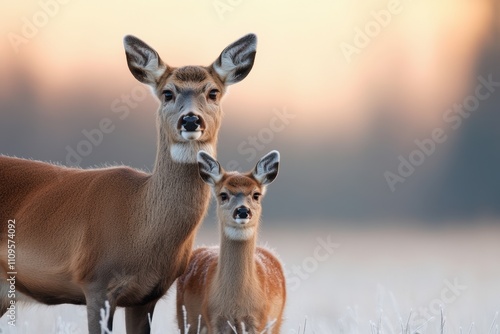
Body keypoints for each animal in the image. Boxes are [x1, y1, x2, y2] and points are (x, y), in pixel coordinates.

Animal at [0, 32, 256, 332]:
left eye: (213, 92)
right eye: (167, 93)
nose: (191, 120)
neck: (139, 225)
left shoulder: (147, 296)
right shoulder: (96, 282)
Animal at [176, 151, 286, 334]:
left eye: (256, 194)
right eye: (223, 195)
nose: (242, 211)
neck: (236, 304)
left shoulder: (258, 321)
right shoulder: (213, 319)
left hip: (276, 323)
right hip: (184, 319)